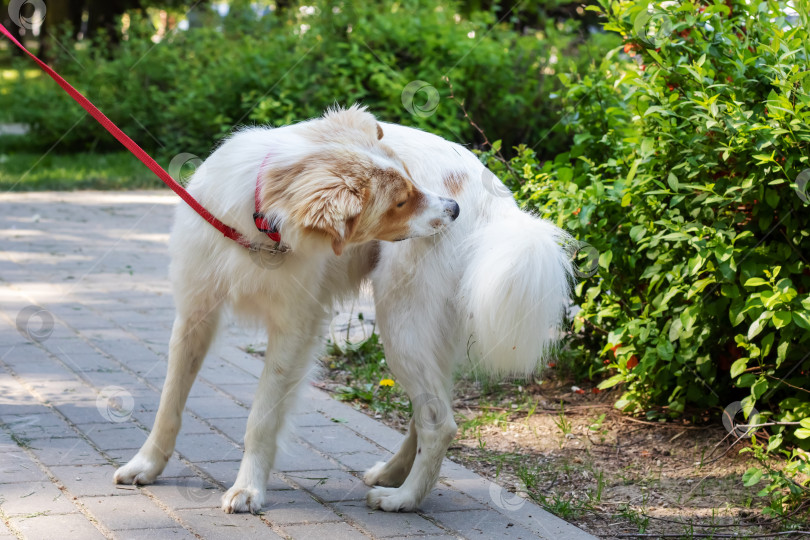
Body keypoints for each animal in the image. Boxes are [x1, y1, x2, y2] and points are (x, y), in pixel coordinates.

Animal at [113, 104, 572, 510]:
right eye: (400, 201)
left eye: (411, 180)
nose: (453, 209)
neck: (258, 222)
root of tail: (497, 199)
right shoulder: (195, 312)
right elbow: (170, 401)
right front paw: (147, 465)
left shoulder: (294, 330)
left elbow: (261, 418)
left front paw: (248, 489)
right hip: (422, 334)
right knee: (429, 408)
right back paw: (392, 474)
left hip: (401, 324)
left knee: (440, 422)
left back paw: (404, 499)